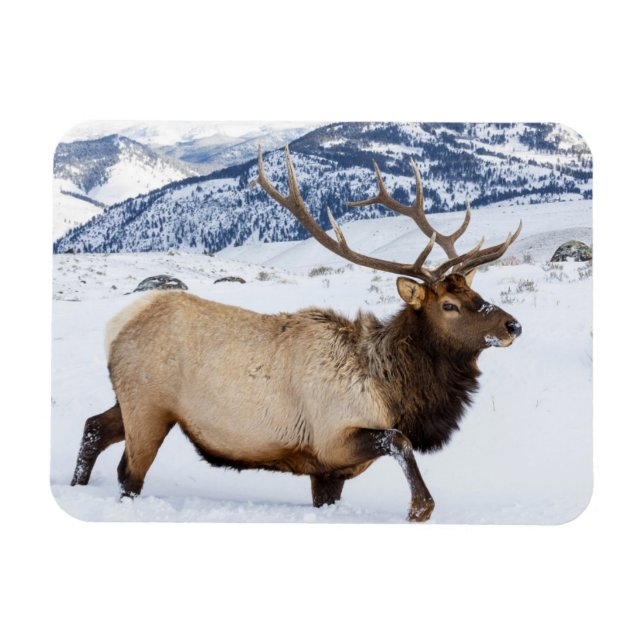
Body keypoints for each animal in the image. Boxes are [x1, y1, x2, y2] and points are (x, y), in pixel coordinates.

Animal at [70, 145, 522, 522]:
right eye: (449, 305)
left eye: (475, 292)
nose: (512, 325)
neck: (393, 392)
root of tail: (118, 324)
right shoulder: (332, 438)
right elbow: (400, 442)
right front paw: (419, 508)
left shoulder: (328, 472)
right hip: (149, 405)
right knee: (128, 473)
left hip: (132, 401)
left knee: (93, 426)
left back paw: (75, 486)